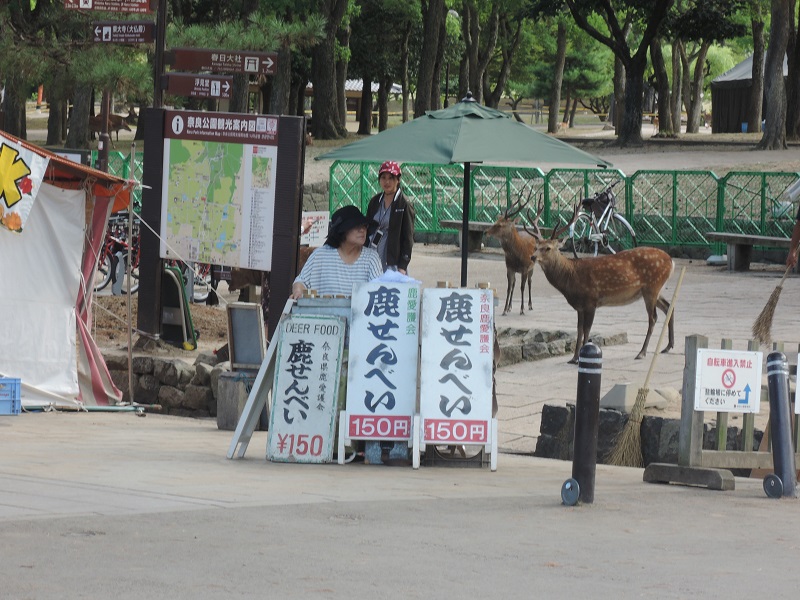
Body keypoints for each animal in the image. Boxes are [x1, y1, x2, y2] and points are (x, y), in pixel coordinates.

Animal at [524, 204, 676, 364]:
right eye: (536, 246)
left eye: (548, 248)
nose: (533, 257)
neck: (571, 277)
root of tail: (671, 261)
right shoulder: (580, 306)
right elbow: (579, 330)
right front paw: (573, 358)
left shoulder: (591, 299)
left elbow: (587, 330)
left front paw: (581, 356)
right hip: (653, 289)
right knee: (669, 306)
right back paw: (668, 346)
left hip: (652, 286)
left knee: (653, 317)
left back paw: (642, 352)